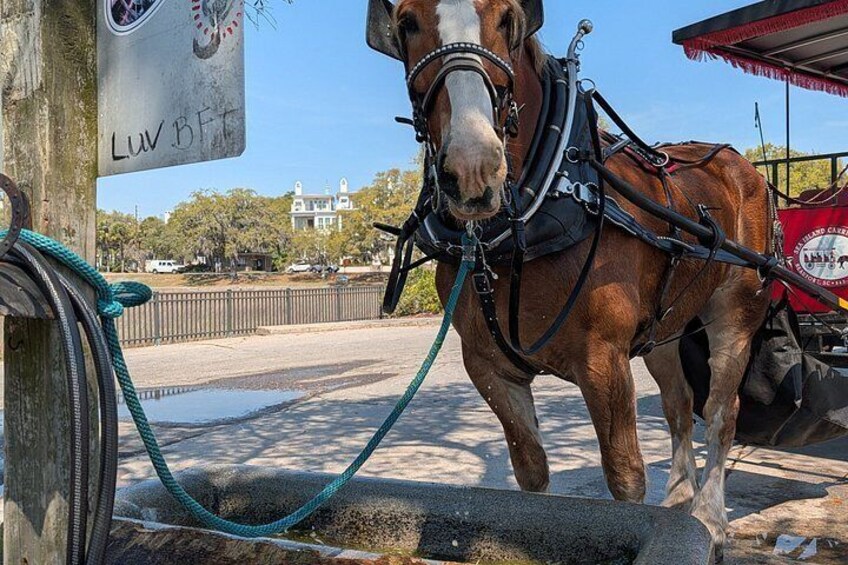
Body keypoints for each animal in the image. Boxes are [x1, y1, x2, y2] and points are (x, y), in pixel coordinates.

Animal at [367, 0, 772, 553]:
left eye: (508, 19)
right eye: (406, 23)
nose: (473, 168)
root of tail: (738, 164)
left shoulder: (603, 360)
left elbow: (624, 476)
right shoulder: (490, 367)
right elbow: (531, 471)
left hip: (736, 311)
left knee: (720, 411)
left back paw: (709, 516)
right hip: (664, 328)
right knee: (678, 405)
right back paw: (678, 499)